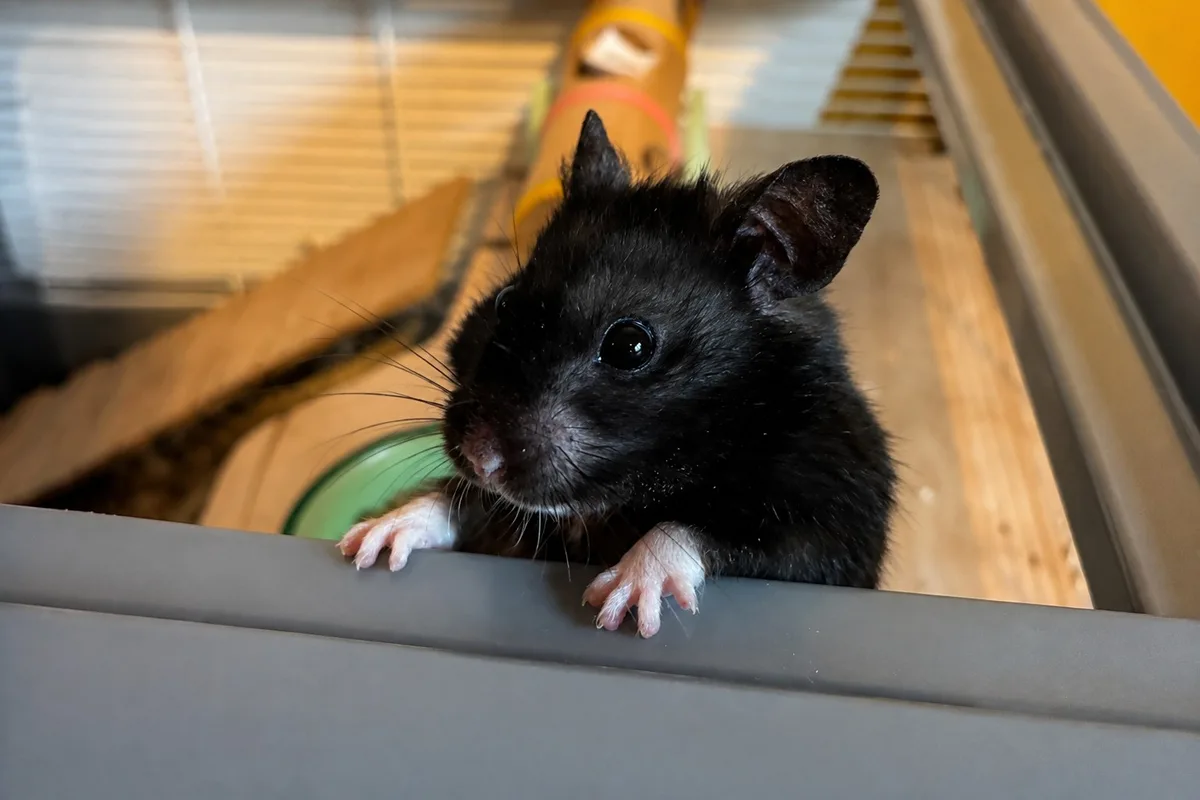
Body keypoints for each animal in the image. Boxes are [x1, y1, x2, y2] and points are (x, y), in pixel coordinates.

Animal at [339, 110, 897, 637]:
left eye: (630, 346)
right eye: (504, 303)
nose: (481, 460)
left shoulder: (829, 528)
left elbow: (697, 531)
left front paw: (616, 607)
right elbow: (460, 502)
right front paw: (370, 543)